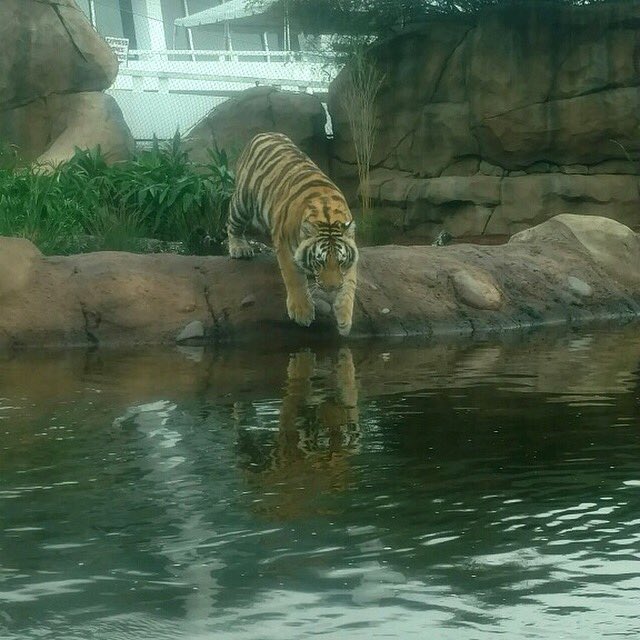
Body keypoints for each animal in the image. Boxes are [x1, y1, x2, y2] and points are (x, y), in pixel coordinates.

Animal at [227, 132, 358, 337]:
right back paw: (239, 248)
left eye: (341, 261)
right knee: (232, 221)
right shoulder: (284, 245)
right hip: (243, 202)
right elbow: (294, 278)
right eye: (320, 261)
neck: (328, 215)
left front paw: (345, 319)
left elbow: (349, 286)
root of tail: (263, 133)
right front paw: (302, 312)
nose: (331, 289)